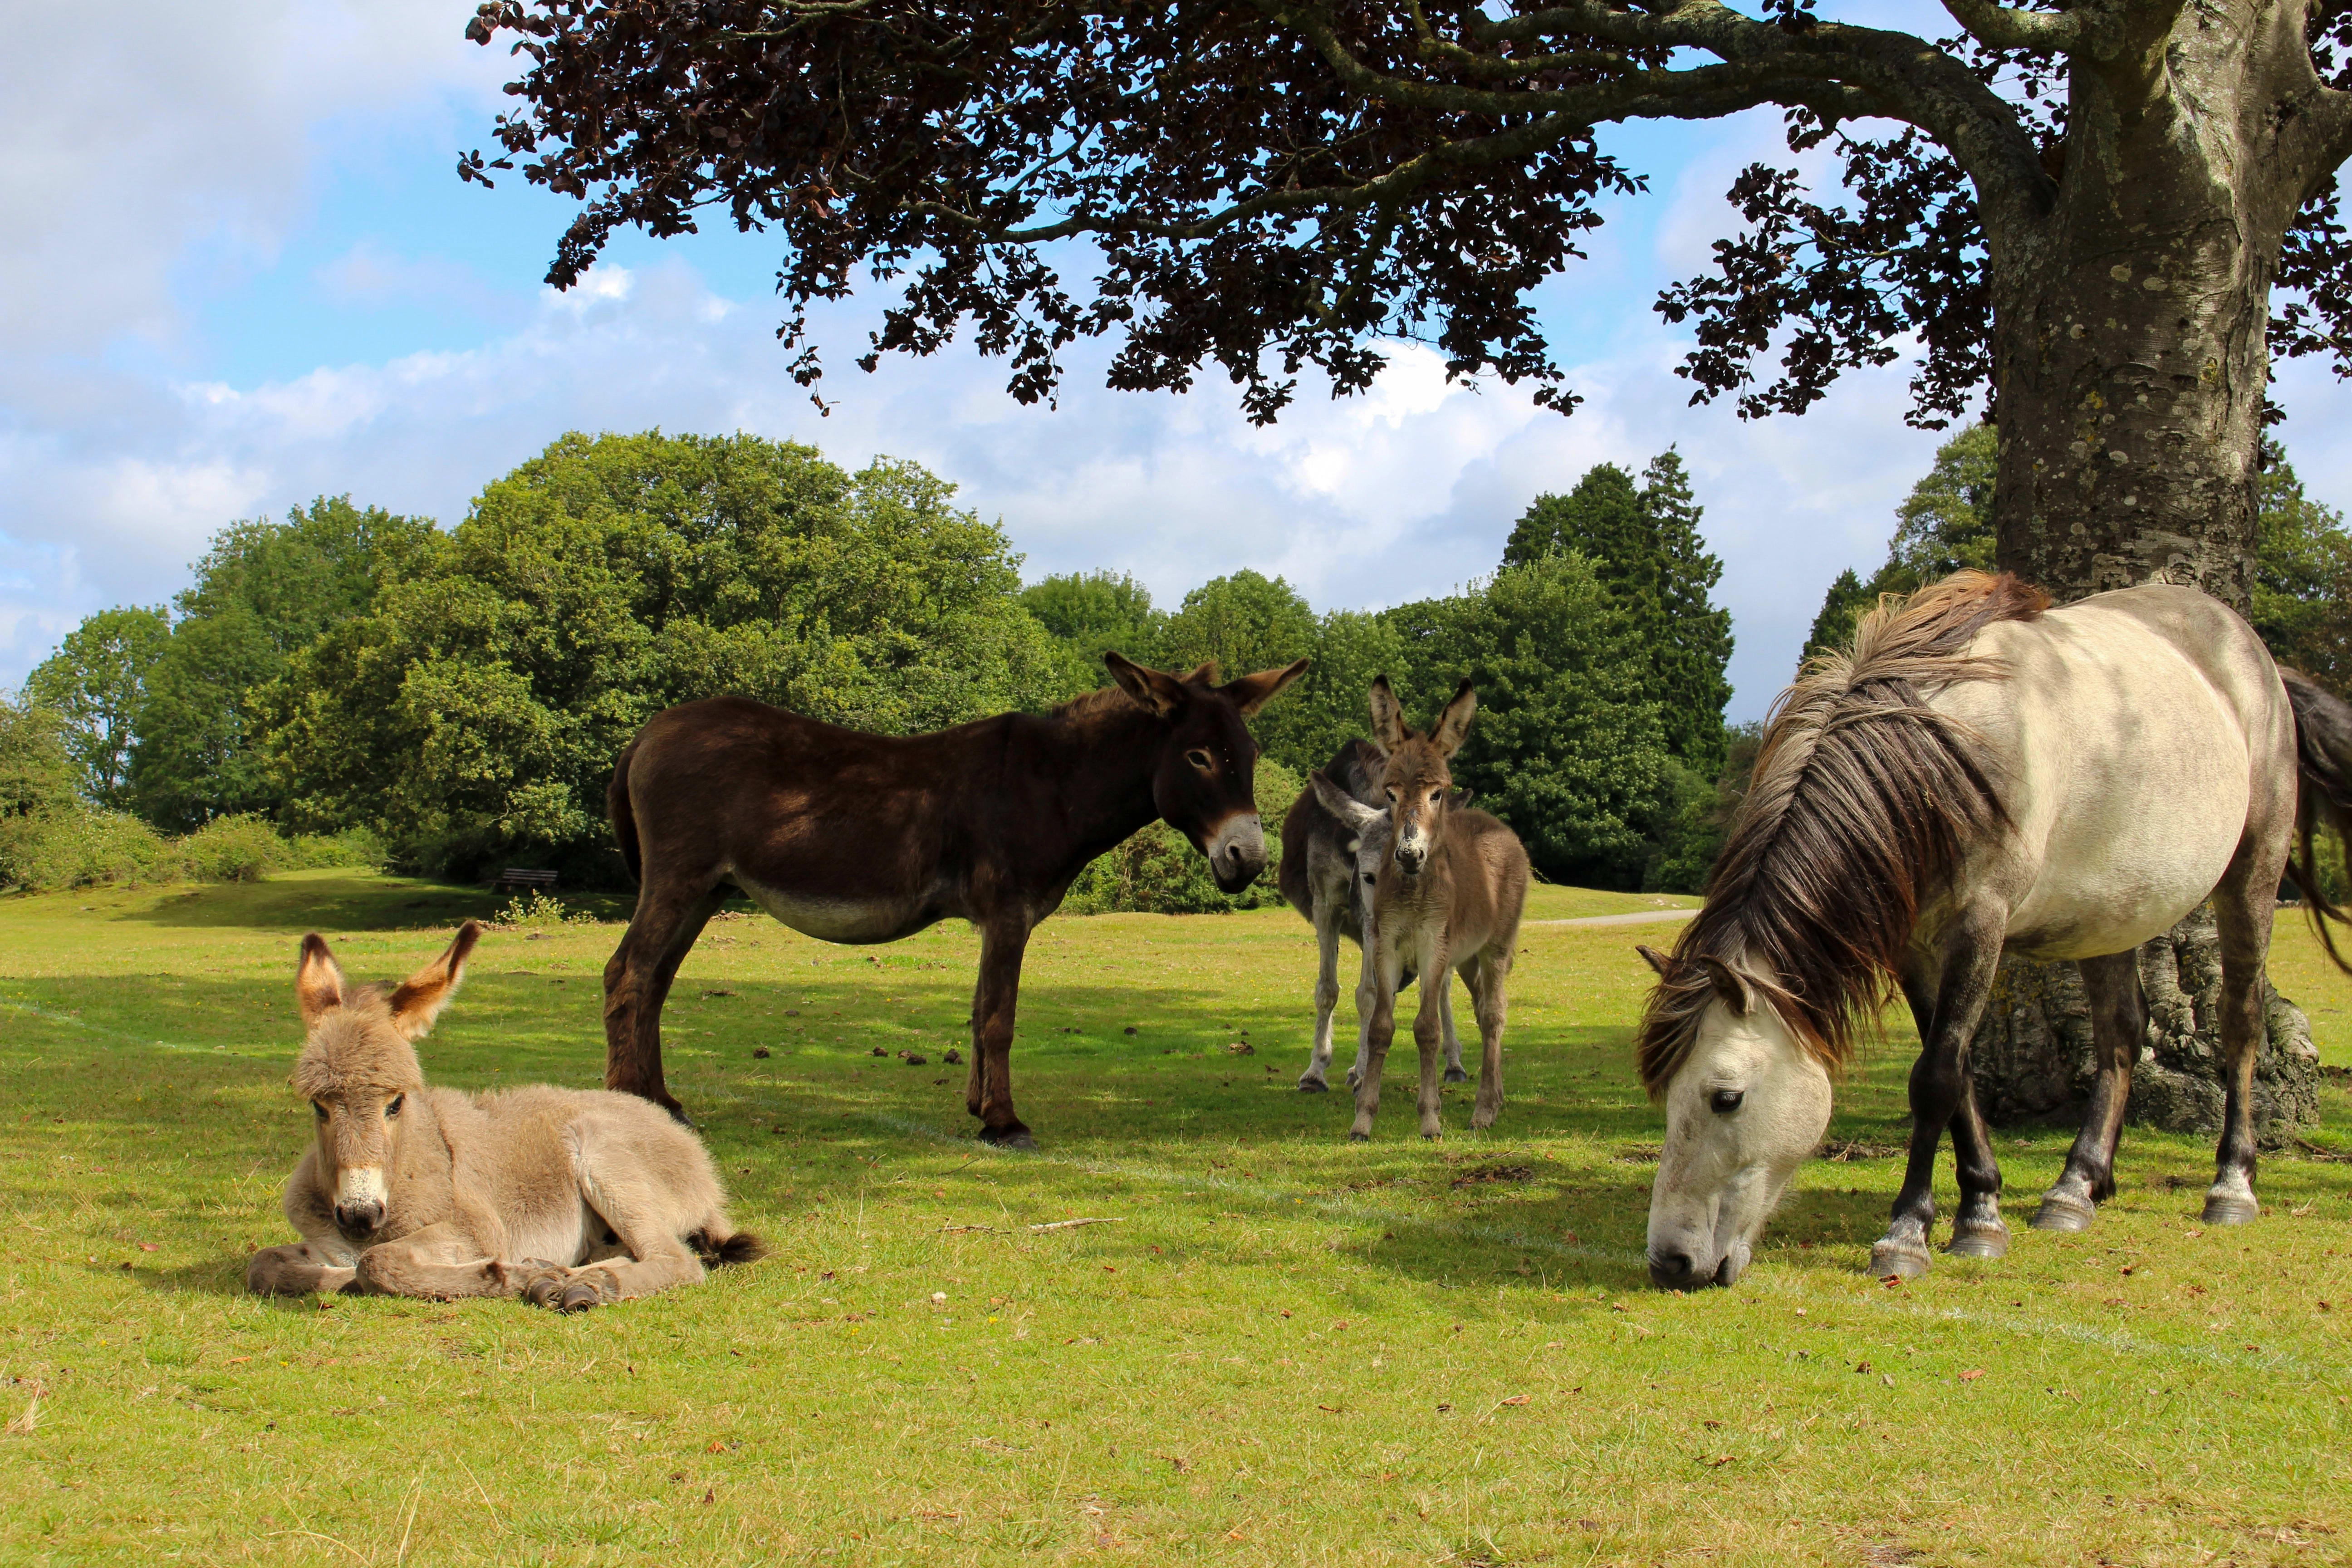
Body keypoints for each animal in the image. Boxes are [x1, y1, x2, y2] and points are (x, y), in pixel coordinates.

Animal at [247, 921, 762, 1316]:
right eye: (319, 1106)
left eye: (396, 1103)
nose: (358, 1216)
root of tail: (686, 1141)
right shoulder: (324, 1241)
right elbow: (266, 1265)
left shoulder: (477, 1228)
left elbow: (377, 1262)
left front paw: (510, 1275)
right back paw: (571, 1274)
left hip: (607, 1161)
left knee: (675, 1259)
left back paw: (583, 1285)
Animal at [1637, 573, 2352, 1288]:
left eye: (1726, 1098)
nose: (1671, 1262)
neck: (1941, 758)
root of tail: (2255, 655)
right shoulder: (1917, 950)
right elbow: (1959, 1077)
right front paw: (1980, 1209)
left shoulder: (1980, 924)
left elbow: (1936, 1078)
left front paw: (1908, 1233)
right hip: (2111, 913)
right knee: (2122, 1034)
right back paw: (2078, 1188)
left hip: (2253, 873)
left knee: (2240, 1021)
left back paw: (2231, 1185)